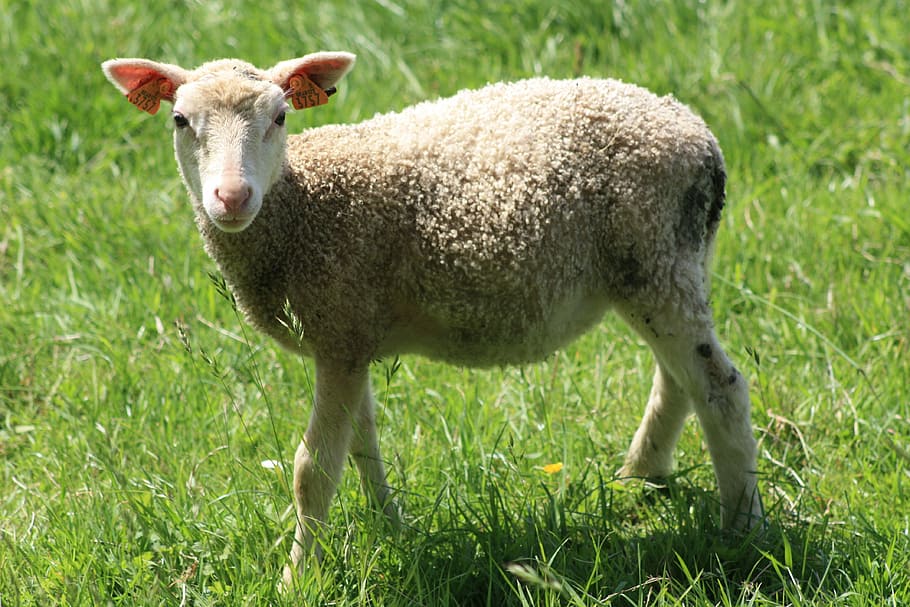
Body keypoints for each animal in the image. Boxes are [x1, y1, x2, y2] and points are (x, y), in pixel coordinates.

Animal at [101, 52, 764, 583]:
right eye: (180, 121)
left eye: (281, 117)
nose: (232, 198)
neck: (300, 206)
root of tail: (700, 136)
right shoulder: (350, 331)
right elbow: (363, 445)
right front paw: (391, 531)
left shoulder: (338, 323)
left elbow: (314, 470)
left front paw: (296, 579)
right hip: (668, 264)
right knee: (677, 379)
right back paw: (641, 479)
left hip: (654, 257)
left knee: (720, 387)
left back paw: (742, 531)